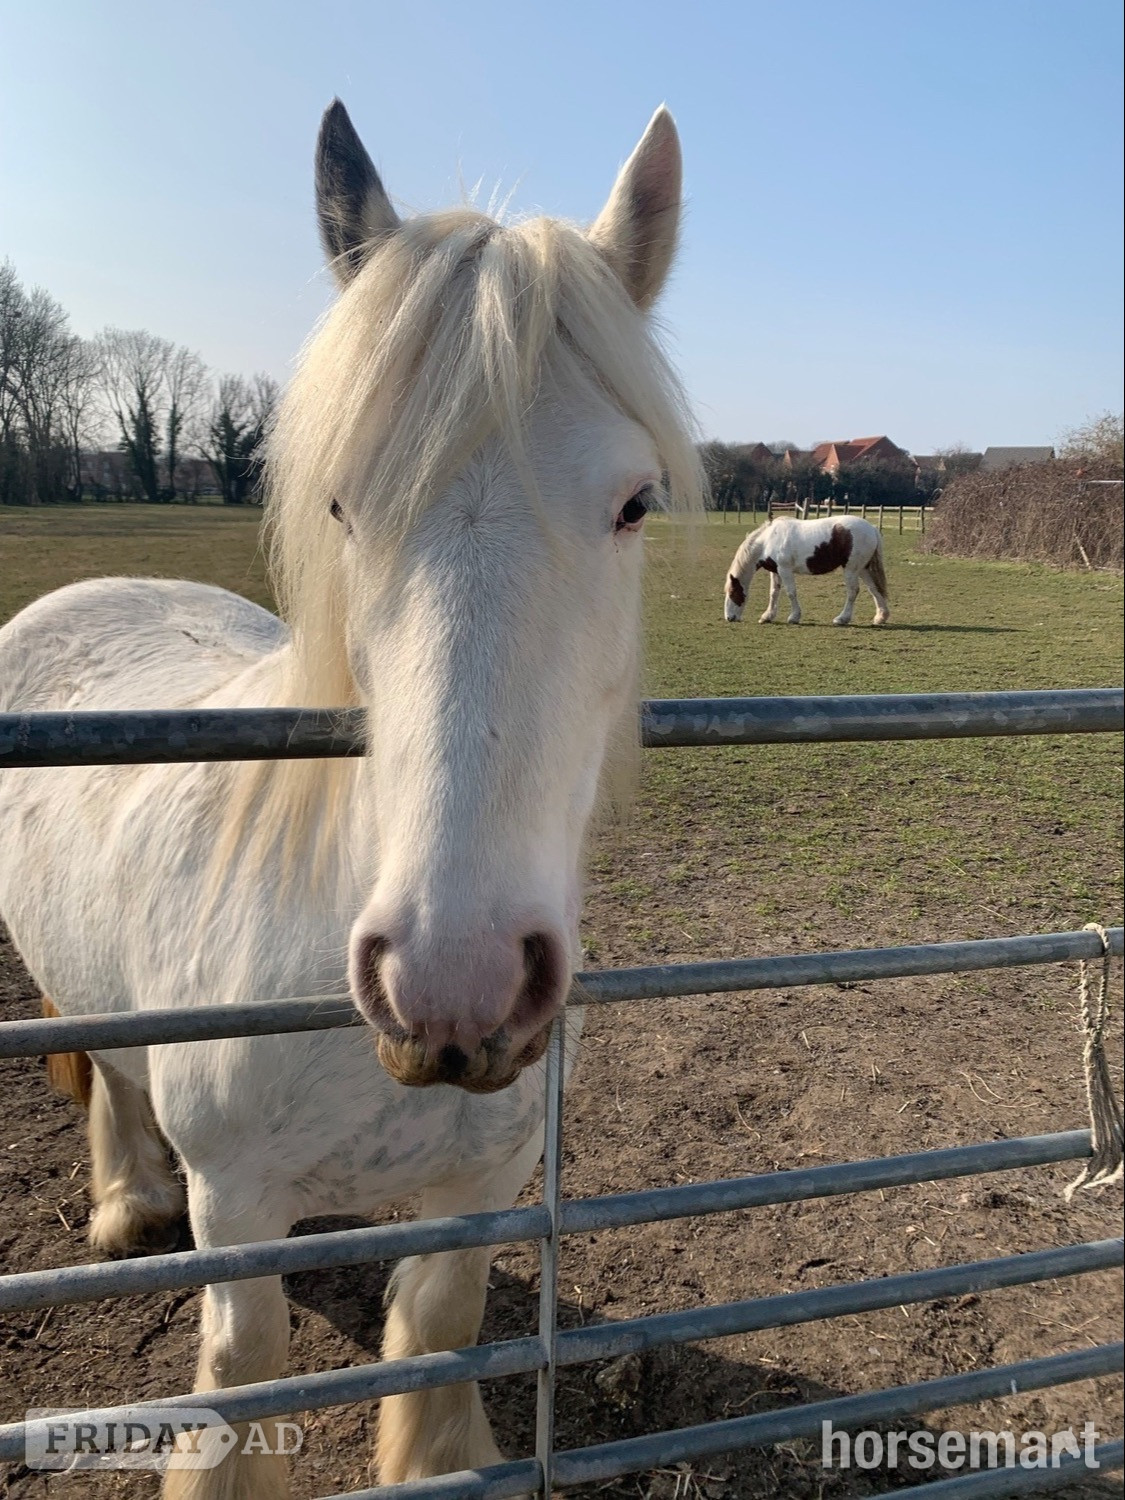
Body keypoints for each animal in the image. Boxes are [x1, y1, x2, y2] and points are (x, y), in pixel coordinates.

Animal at [0, 100, 701, 1497]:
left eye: (635, 503)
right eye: (339, 501)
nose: (454, 982)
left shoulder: (482, 1184)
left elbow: (435, 1332)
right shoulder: (235, 1212)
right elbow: (243, 1372)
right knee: (107, 1073)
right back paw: (123, 1203)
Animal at [723, 514, 890, 626]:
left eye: (732, 592)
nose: (729, 618)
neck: (767, 540)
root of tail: (872, 528)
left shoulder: (785, 570)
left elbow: (791, 592)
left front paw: (794, 617)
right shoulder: (776, 571)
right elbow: (774, 593)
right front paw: (767, 616)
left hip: (851, 569)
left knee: (853, 591)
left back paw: (842, 619)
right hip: (863, 569)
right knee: (874, 589)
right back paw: (880, 617)